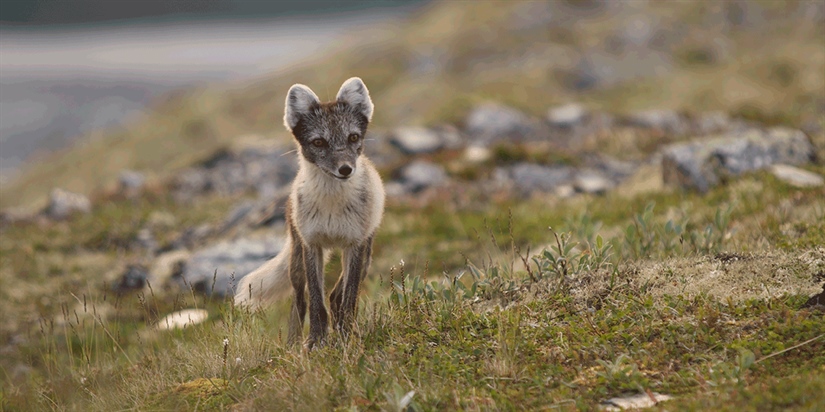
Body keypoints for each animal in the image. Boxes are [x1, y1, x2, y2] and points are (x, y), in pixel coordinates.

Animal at [233, 76, 384, 348]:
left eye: (353, 137)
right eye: (319, 142)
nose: (345, 169)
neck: (332, 205)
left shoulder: (354, 246)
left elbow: (349, 299)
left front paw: (348, 337)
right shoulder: (312, 245)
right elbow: (315, 302)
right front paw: (315, 340)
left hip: (365, 258)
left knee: (336, 296)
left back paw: (343, 330)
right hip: (297, 260)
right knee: (299, 302)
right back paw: (292, 345)